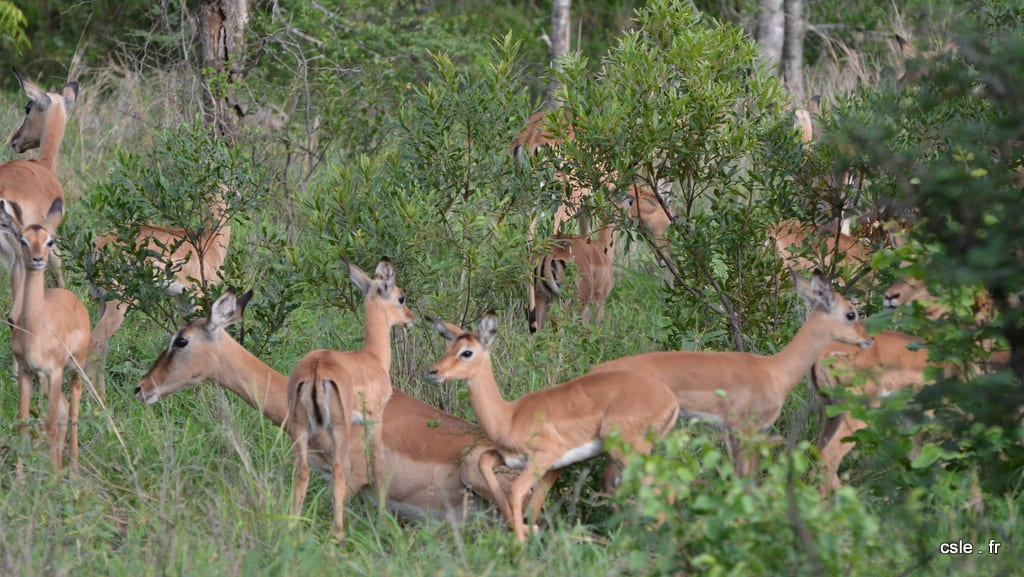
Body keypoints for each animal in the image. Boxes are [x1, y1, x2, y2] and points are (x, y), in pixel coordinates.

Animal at [0, 199, 90, 473]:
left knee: (72, 411)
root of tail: (73, 298)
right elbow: (23, 422)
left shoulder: (55, 371)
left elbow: (50, 424)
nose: (38, 259)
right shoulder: (27, 372)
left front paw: (53, 478)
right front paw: (20, 479)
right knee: (62, 410)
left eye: (50, 241)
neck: (35, 331)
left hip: (75, 368)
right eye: (23, 239)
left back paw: (72, 468)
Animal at [286, 257, 413, 541]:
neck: (373, 358)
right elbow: (377, 467)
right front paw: (383, 521)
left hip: (300, 427)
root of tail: (316, 368)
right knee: (337, 471)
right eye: (400, 297)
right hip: (337, 428)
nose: (411, 318)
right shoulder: (373, 421)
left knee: (302, 471)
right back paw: (338, 533)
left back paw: (294, 528)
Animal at [425, 311, 679, 541]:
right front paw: (526, 530)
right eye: (448, 347)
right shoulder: (523, 461)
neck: (509, 416)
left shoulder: (545, 456)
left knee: (663, 491)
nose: (433, 372)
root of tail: (670, 400)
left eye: (467, 352)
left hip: (627, 452)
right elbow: (489, 466)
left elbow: (516, 492)